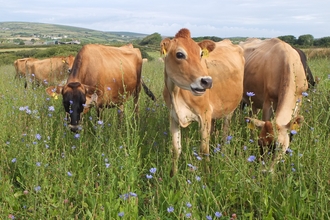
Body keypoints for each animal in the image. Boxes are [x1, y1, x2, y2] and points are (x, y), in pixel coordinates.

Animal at [160, 28, 245, 175]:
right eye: (180, 54)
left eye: (201, 54)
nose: (207, 81)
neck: (176, 94)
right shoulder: (173, 116)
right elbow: (176, 150)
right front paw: (173, 176)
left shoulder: (204, 115)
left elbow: (204, 151)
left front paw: (207, 175)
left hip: (230, 109)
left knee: (225, 133)